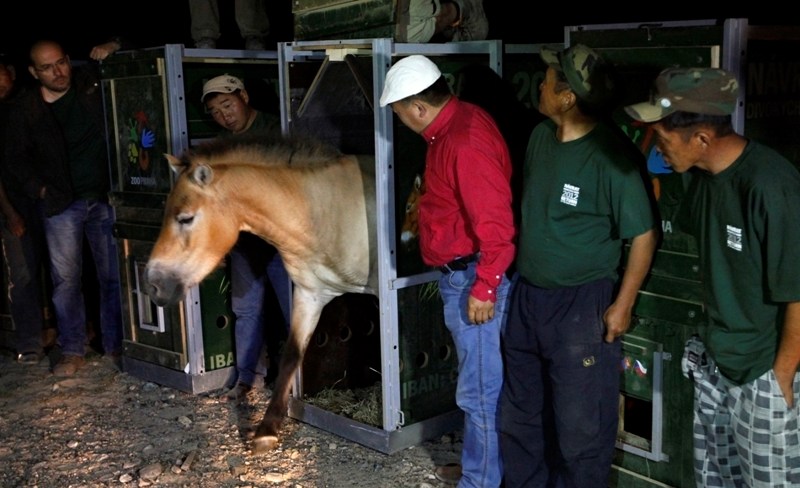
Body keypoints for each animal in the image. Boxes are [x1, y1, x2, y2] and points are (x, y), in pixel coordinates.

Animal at [145, 132, 378, 454]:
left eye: (185, 218)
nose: (153, 285)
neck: (326, 211)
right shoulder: (310, 295)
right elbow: (292, 355)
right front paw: (267, 430)